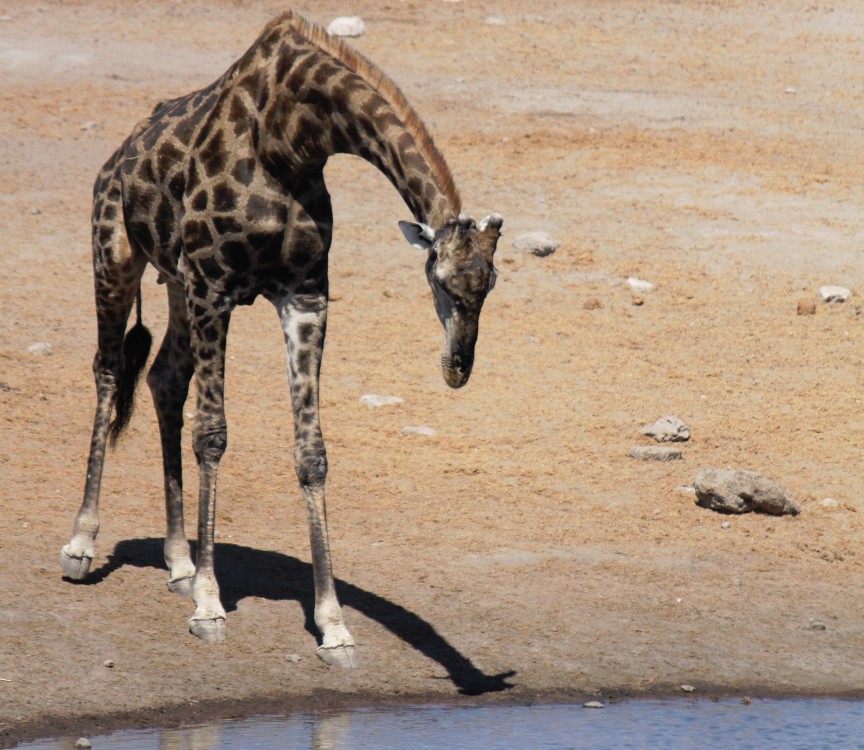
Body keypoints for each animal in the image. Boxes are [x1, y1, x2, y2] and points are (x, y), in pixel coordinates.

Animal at [60, 10, 502, 668]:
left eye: (491, 284)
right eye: (442, 281)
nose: (457, 367)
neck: (293, 139)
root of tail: (115, 159)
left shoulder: (303, 295)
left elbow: (311, 453)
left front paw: (334, 626)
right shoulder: (216, 287)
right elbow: (213, 435)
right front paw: (211, 607)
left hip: (176, 285)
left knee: (164, 378)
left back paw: (179, 561)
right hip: (115, 255)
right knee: (110, 371)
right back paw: (83, 544)